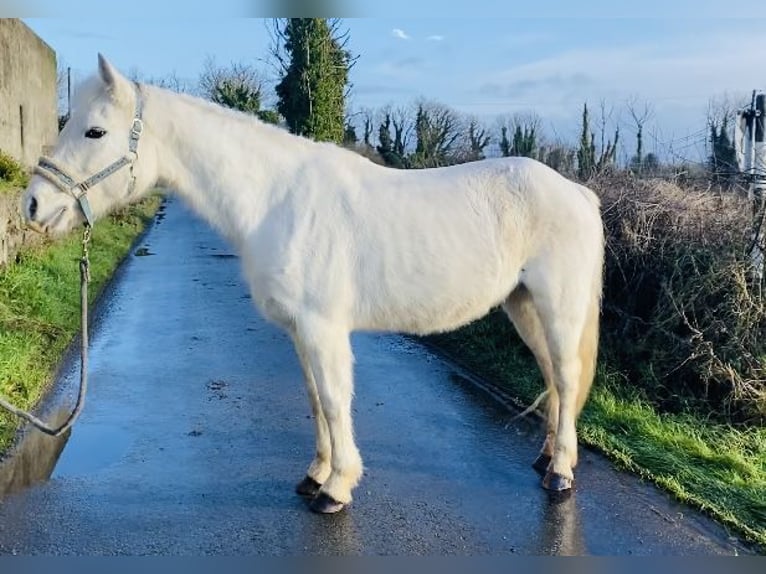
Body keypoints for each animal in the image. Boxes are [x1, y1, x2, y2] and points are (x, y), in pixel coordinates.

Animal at [22, 56, 608, 516]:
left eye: (95, 132)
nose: (32, 205)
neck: (276, 200)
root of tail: (577, 192)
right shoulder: (300, 331)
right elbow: (313, 400)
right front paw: (316, 475)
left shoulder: (323, 328)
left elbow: (332, 399)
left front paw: (337, 489)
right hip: (523, 306)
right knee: (555, 380)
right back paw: (547, 458)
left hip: (557, 308)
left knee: (565, 375)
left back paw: (559, 474)